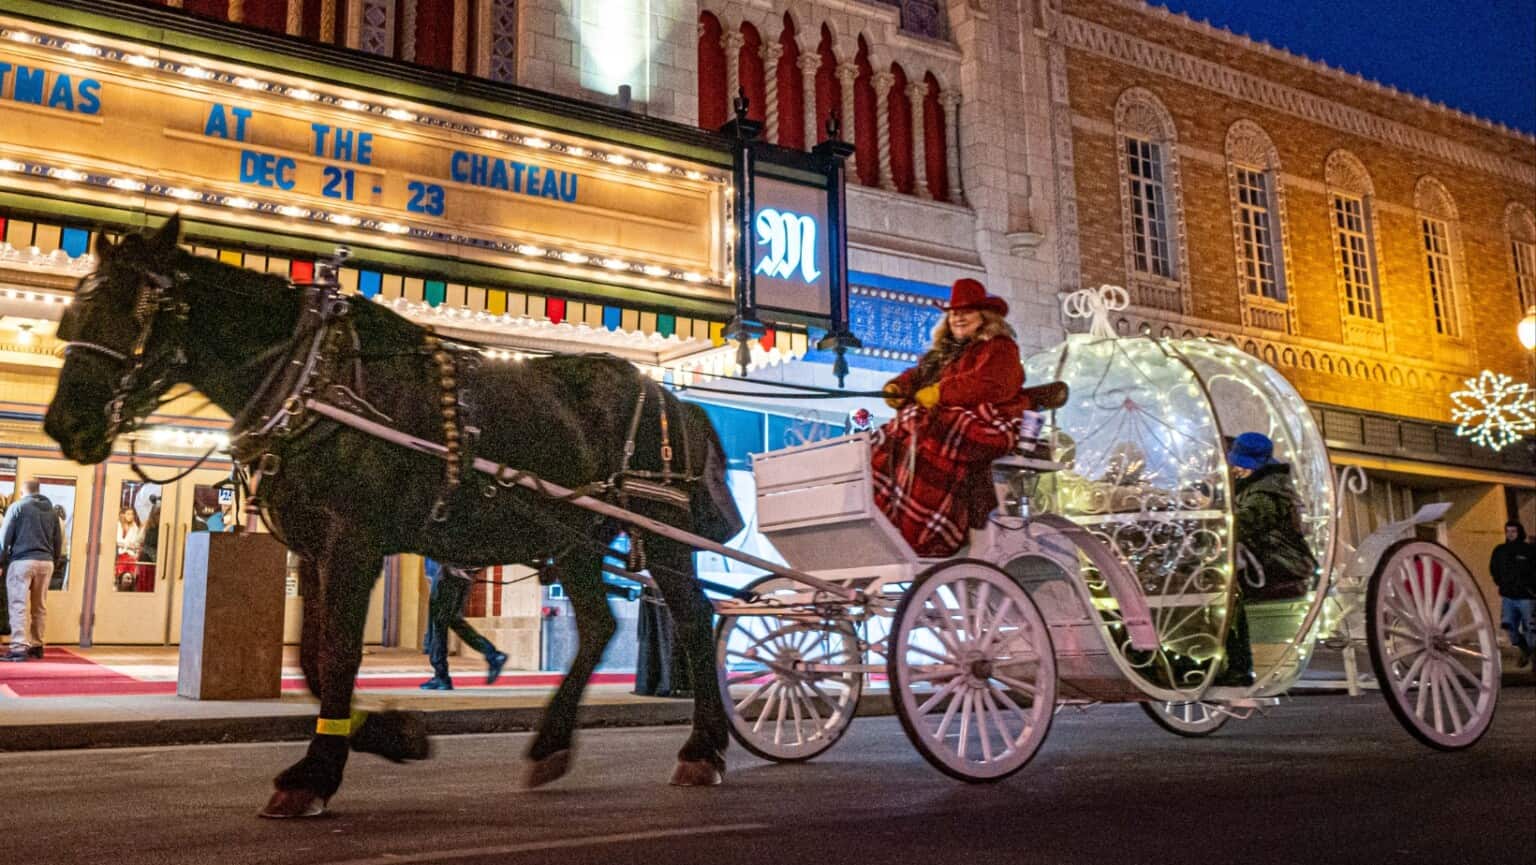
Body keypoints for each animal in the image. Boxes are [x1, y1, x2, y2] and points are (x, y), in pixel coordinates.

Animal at [44, 216, 740, 817]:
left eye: (137, 313)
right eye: (72, 317)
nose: (64, 426)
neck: (313, 379)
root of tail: (673, 396)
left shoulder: (353, 541)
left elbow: (338, 654)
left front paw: (316, 773)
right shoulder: (312, 547)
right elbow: (312, 658)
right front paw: (390, 732)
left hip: (657, 532)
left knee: (694, 617)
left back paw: (702, 749)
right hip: (572, 539)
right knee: (598, 625)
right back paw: (551, 745)